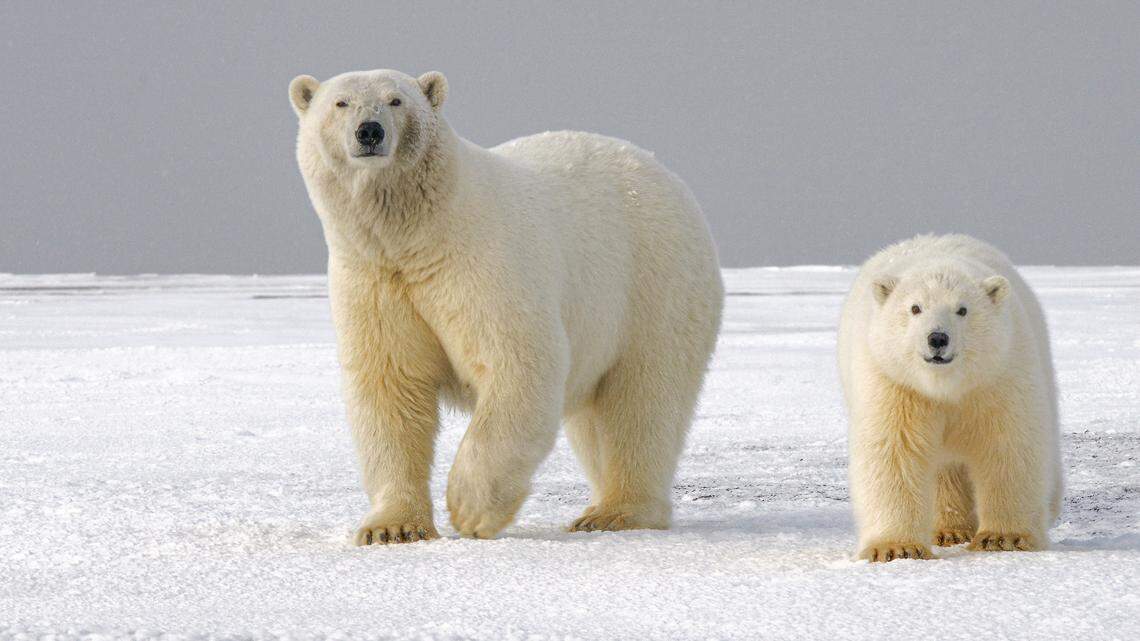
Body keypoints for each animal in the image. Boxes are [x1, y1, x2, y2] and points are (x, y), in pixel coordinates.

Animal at [288, 69, 724, 544]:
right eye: (341, 103)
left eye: (396, 100)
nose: (370, 131)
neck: (419, 235)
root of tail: (664, 173)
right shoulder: (374, 280)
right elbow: (390, 387)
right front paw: (392, 527)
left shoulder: (481, 263)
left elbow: (518, 362)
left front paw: (470, 509)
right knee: (596, 419)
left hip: (653, 284)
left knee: (642, 400)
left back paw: (617, 512)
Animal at [837, 234, 1062, 562]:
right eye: (915, 308)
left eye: (963, 310)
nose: (937, 338)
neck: (946, 386)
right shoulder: (895, 383)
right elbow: (894, 451)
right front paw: (897, 547)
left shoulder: (998, 376)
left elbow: (1008, 444)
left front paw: (1002, 538)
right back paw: (949, 530)